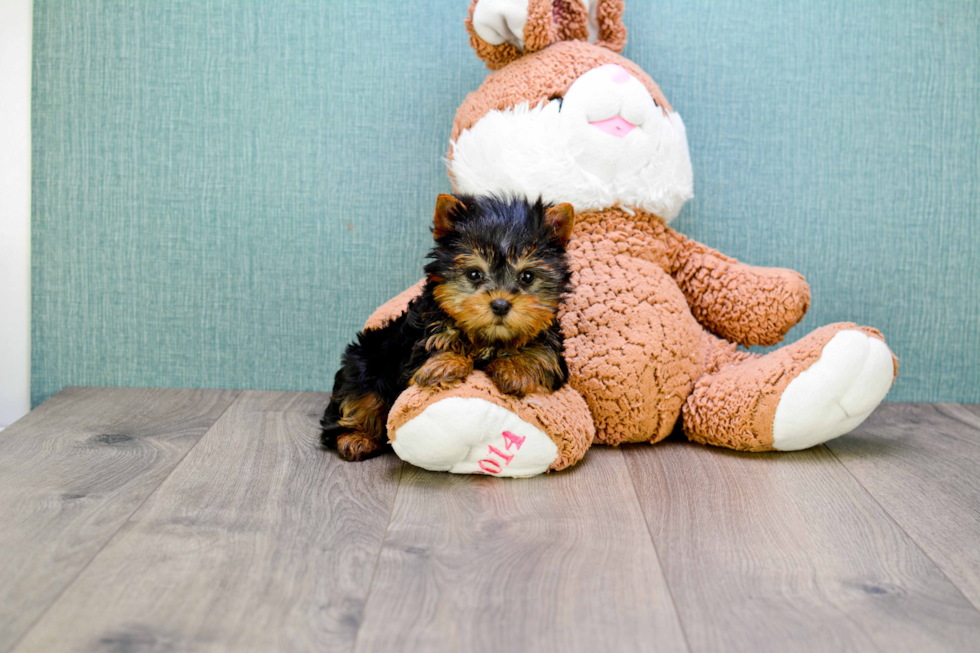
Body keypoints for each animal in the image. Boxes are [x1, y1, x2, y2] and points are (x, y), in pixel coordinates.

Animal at [322, 191, 576, 460]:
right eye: (474, 274)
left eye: (527, 277)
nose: (500, 304)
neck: (487, 338)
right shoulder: (421, 335)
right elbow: (436, 342)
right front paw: (446, 364)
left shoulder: (549, 341)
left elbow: (542, 354)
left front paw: (515, 370)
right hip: (365, 361)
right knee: (359, 399)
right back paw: (356, 438)